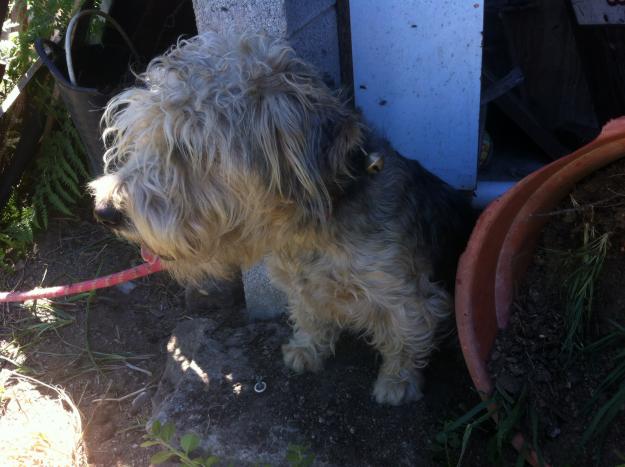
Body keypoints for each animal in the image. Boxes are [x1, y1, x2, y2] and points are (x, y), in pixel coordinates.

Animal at [90, 33, 472, 406]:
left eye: (185, 149)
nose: (105, 212)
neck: (308, 232)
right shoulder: (300, 284)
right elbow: (309, 317)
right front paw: (306, 350)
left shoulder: (404, 296)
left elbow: (404, 337)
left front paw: (397, 382)